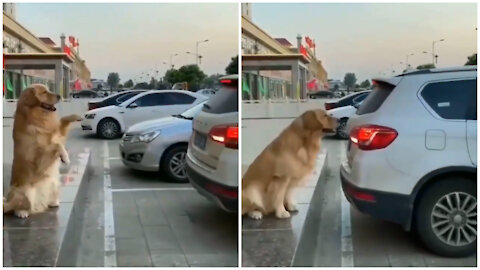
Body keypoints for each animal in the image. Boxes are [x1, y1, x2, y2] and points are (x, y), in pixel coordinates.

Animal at [3, 83, 81, 218]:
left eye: (48, 89)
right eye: (44, 92)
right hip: (25, 192)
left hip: (54, 183)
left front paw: (76, 116)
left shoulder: (58, 134)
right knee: (14, 208)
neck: (39, 117)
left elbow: (63, 121)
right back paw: (21, 212)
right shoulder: (37, 159)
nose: (59, 95)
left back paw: (53, 203)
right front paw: (65, 157)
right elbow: (56, 145)